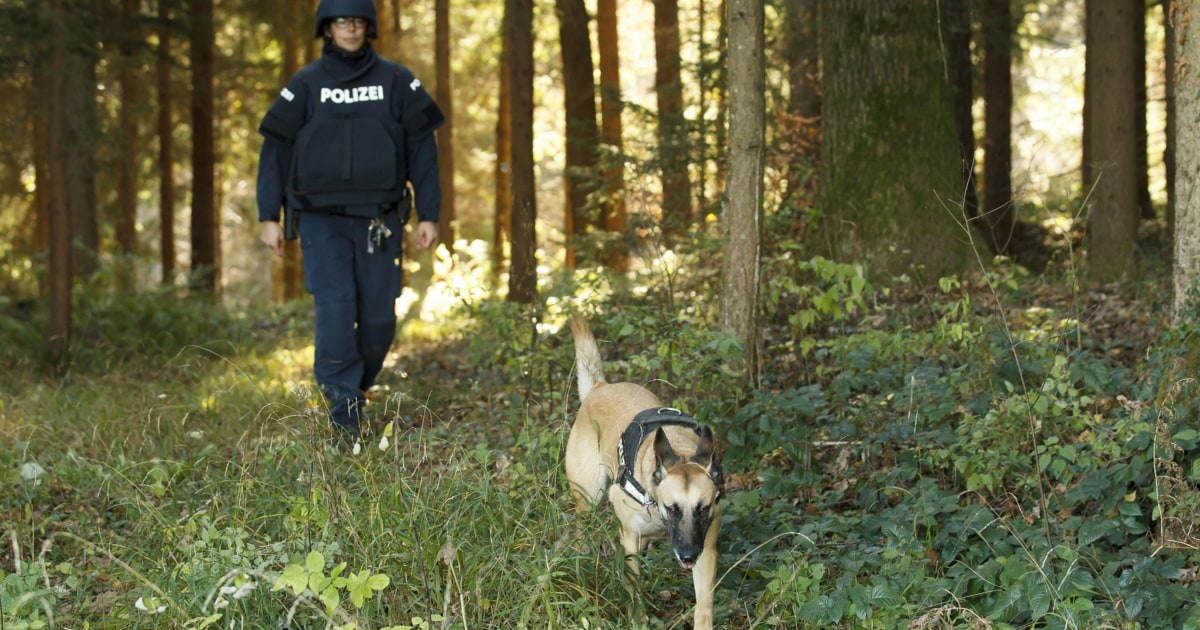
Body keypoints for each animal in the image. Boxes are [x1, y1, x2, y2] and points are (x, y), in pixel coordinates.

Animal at [561, 314, 720, 628]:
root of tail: (600, 387)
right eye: (672, 508)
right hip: (590, 496)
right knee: (582, 526)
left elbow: (704, 606)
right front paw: (638, 617)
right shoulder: (631, 536)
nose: (687, 555)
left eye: (702, 509)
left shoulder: (706, 551)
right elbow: (633, 586)